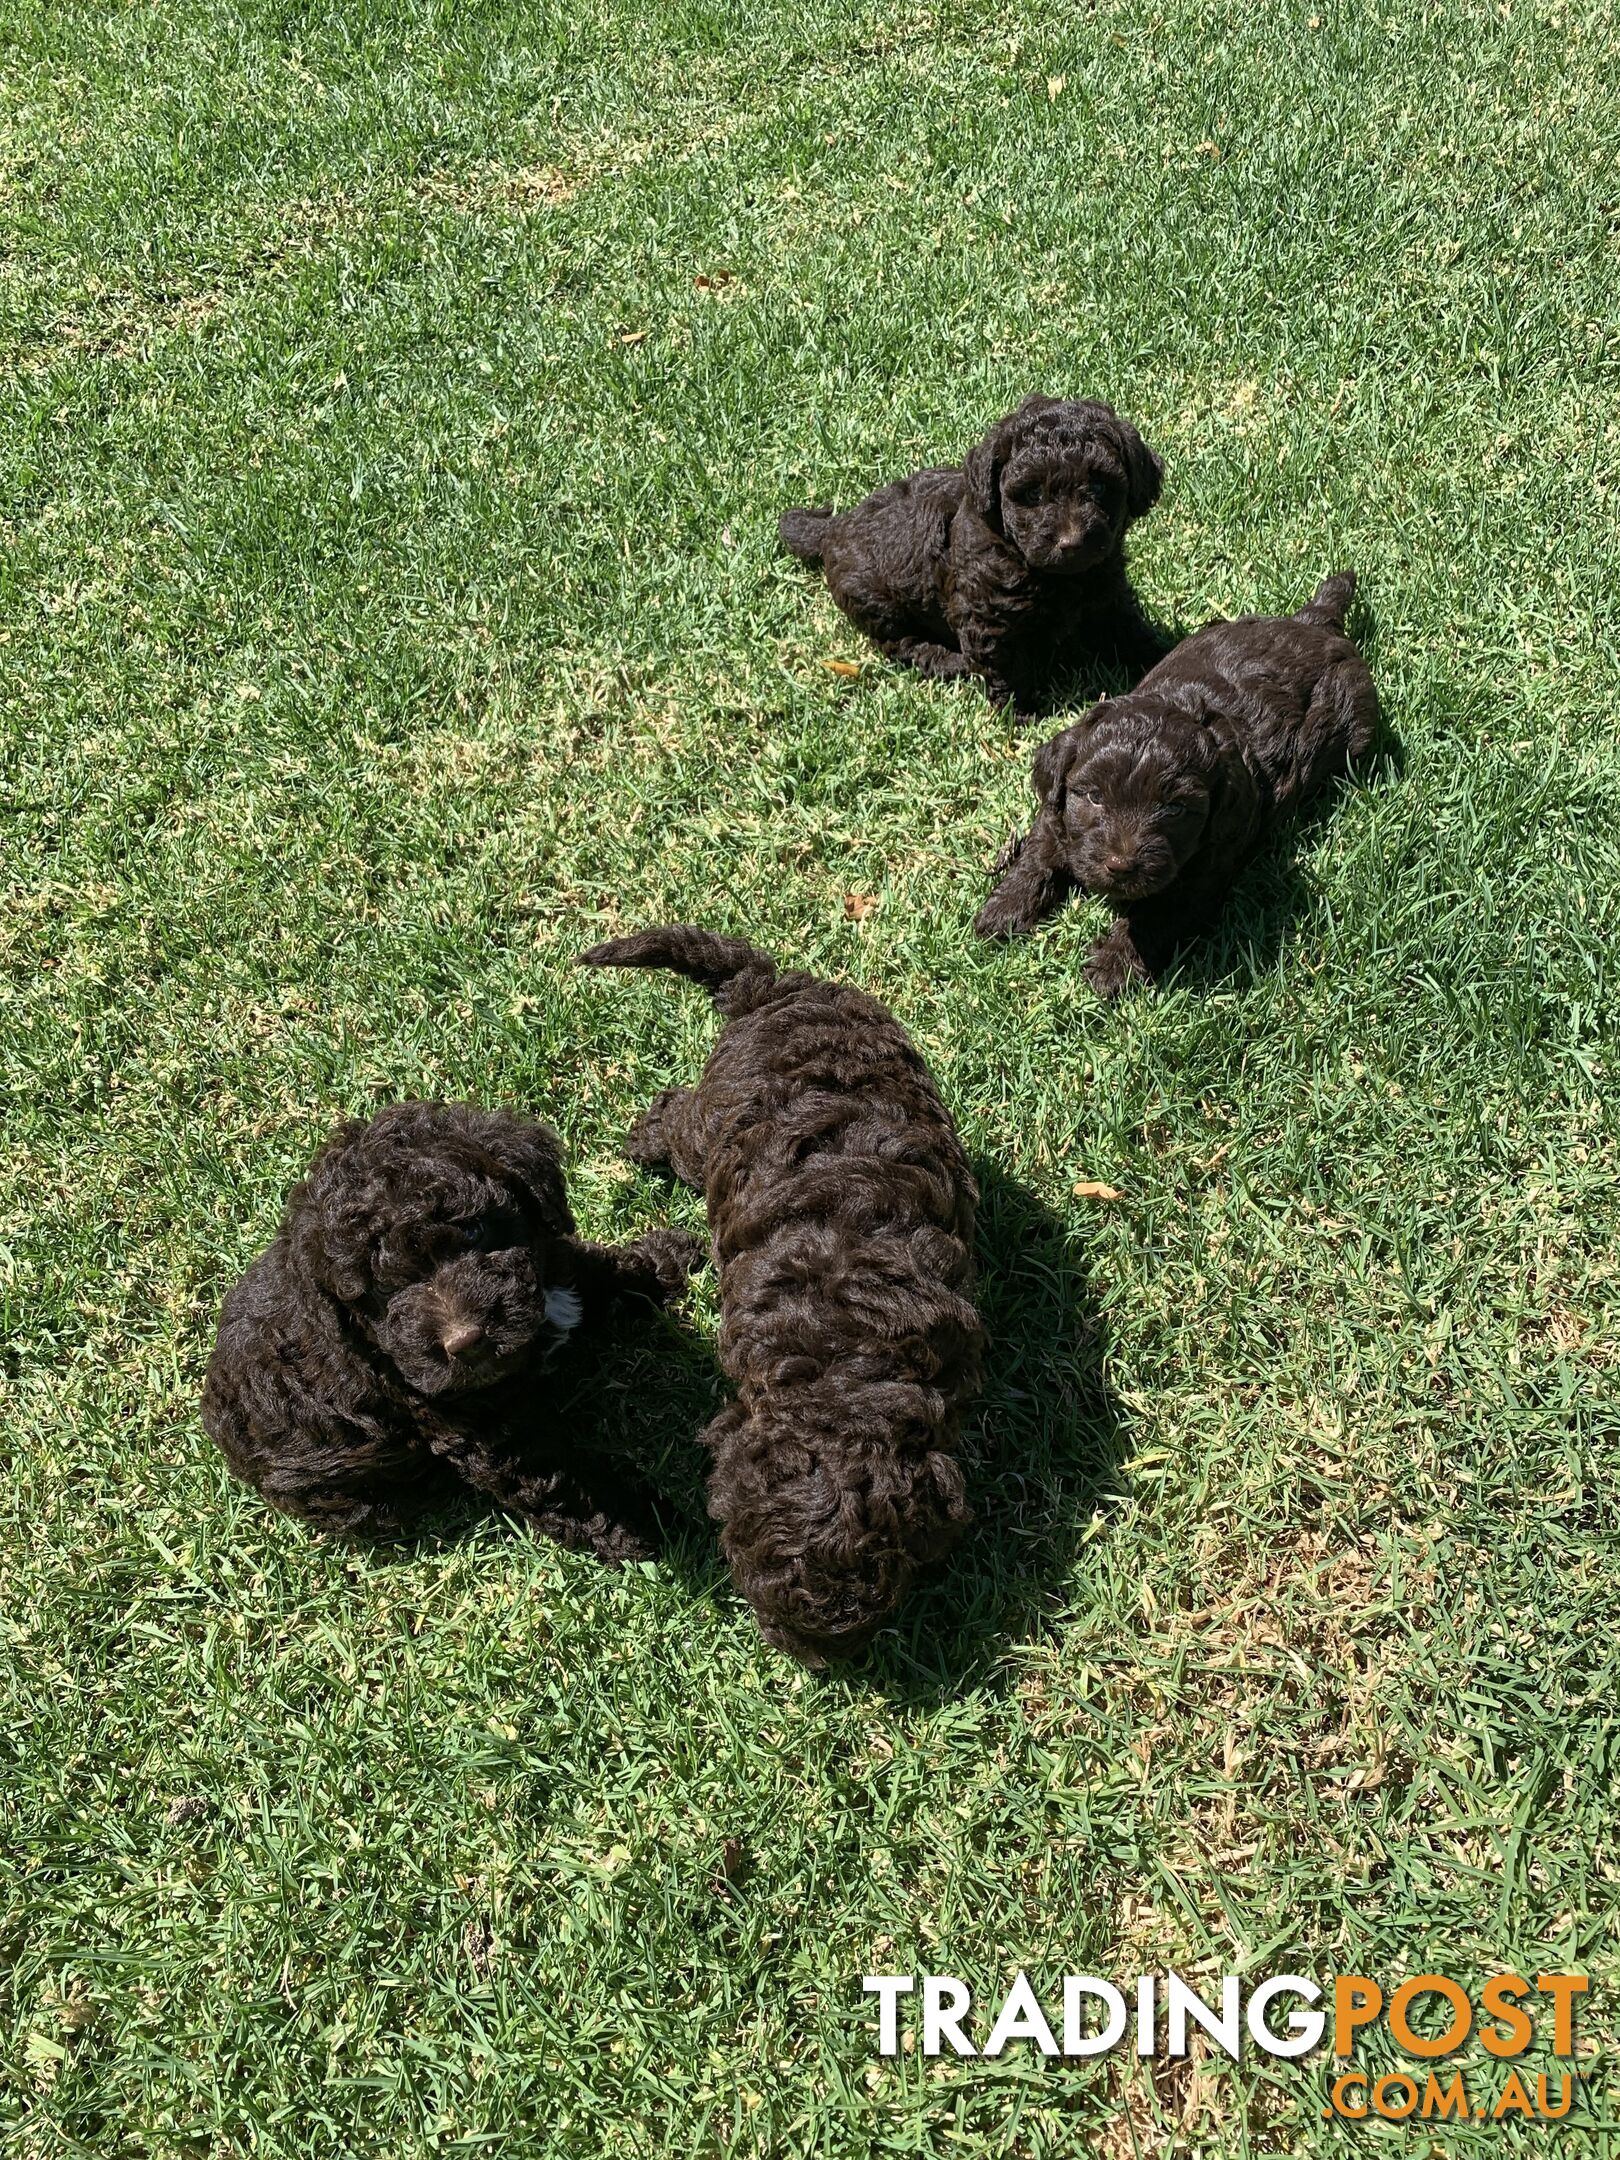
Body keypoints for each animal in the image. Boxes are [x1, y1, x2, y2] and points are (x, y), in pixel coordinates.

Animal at [198, 1105, 704, 1563]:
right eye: (378, 1293)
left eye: (474, 1230)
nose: (465, 1342)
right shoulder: (480, 1426)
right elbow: (566, 1484)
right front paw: (643, 1525)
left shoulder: (555, 1267)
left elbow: (594, 1273)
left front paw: (665, 1260)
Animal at [781, 393, 1166, 712]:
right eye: (1033, 495)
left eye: (1099, 487)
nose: (1071, 542)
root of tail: (835, 527)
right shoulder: (987, 615)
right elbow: (1004, 664)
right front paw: (1022, 713)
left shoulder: (1108, 591)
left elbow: (1128, 628)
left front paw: (1161, 655)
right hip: (874, 602)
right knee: (901, 642)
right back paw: (948, 661)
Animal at [976, 574, 1382, 1002]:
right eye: (1094, 797)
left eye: (1174, 810)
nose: (1120, 865)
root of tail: (1317, 622)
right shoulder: (1059, 813)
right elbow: (1039, 852)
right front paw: (1004, 908)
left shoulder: (1204, 869)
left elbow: (1154, 917)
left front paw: (1112, 966)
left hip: (1358, 723)